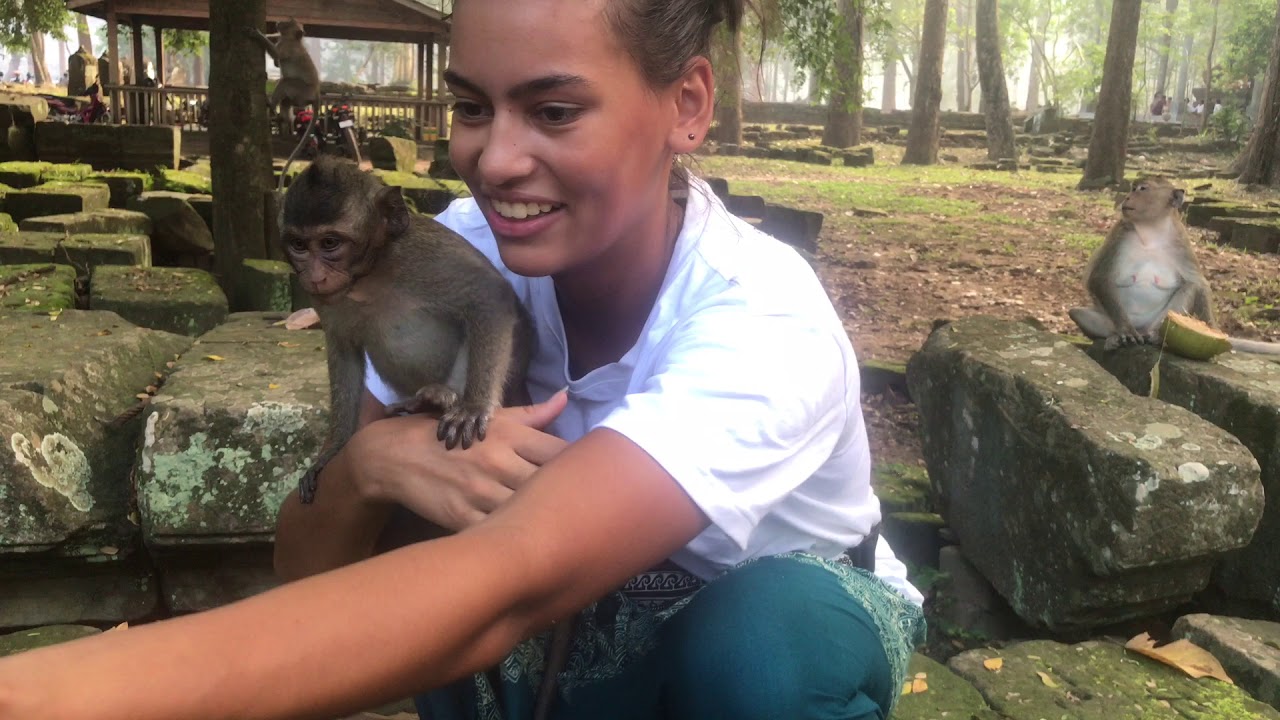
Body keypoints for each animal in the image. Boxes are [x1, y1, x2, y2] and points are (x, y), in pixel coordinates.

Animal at [282, 155, 532, 504]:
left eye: (330, 242)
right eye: (299, 245)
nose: (315, 276)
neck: (368, 275)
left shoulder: (421, 257)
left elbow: (488, 295)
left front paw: (473, 407)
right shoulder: (326, 300)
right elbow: (343, 351)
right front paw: (331, 451)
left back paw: (437, 400)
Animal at [1070, 174, 1280, 353]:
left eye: (1143, 189)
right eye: (1133, 188)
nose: (1127, 197)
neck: (1151, 230)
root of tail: (1142, 328)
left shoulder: (1181, 242)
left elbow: (1198, 283)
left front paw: (1212, 328)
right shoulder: (1119, 234)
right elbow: (1099, 277)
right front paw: (1125, 330)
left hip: (1157, 321)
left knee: (1189, 288)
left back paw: (1155, 337)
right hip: (1107, 321)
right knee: (1077, 313)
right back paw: (1115, 337)